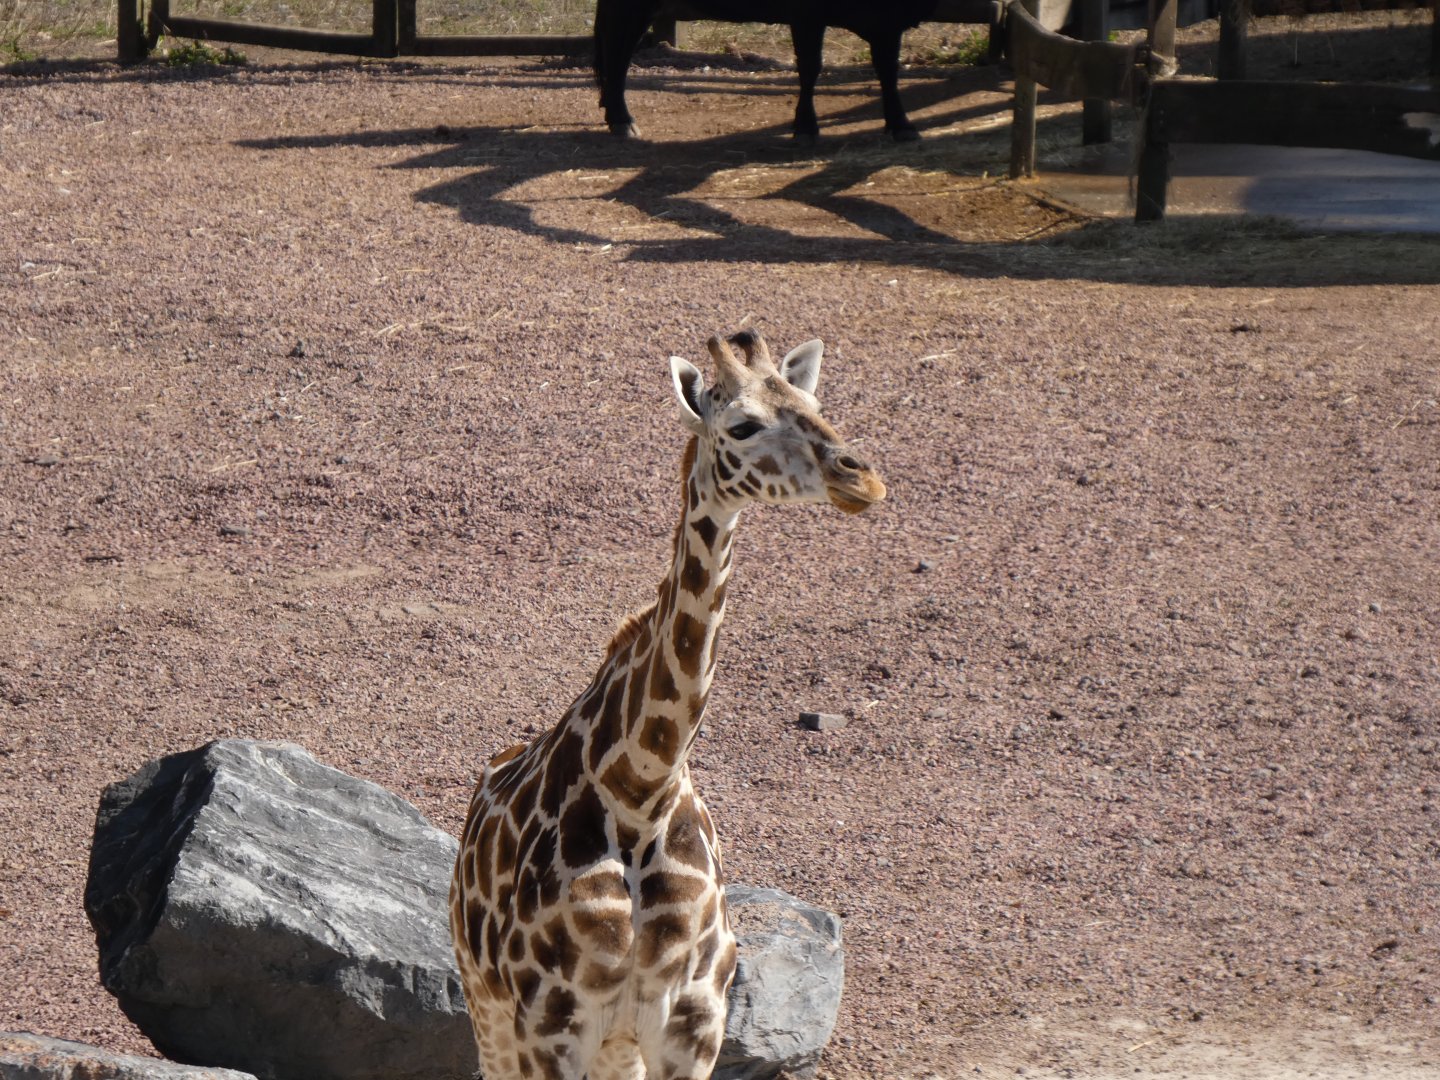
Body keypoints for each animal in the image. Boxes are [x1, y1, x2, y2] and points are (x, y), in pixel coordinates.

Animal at [449, 328, 886, 1080]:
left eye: (814, 405)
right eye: (742, 425)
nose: (861, 479)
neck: (639, 792)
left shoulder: (693, 1021)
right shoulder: (549, 1027)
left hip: (615, 1049)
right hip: (490, 1011)